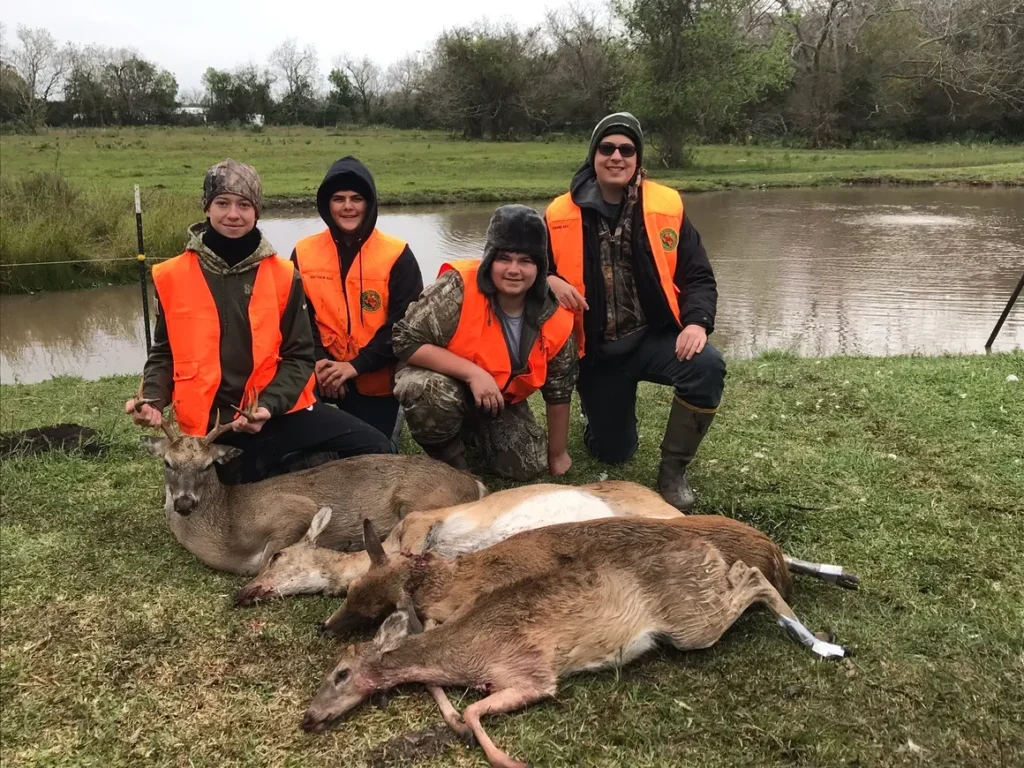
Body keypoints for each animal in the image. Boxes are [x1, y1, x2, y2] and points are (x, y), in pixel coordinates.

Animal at [137, 393, 487, 573]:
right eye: (168, 463)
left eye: (208, 465)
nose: (184, 502)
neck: (228, 528)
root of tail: (474, 483)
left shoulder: (293, 509)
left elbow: (269, 559)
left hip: (423, 501)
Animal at [301, 540, 847, 768]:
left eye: (340, 673)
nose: (307, 718)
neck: (465, 652)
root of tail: (705, 548)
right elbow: (457, 703)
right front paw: (457, 722)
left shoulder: (531, 670)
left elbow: (477, 713)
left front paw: (509, 760)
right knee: (745, 576)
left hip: (693, 624)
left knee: (755, 580)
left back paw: (823, 642)